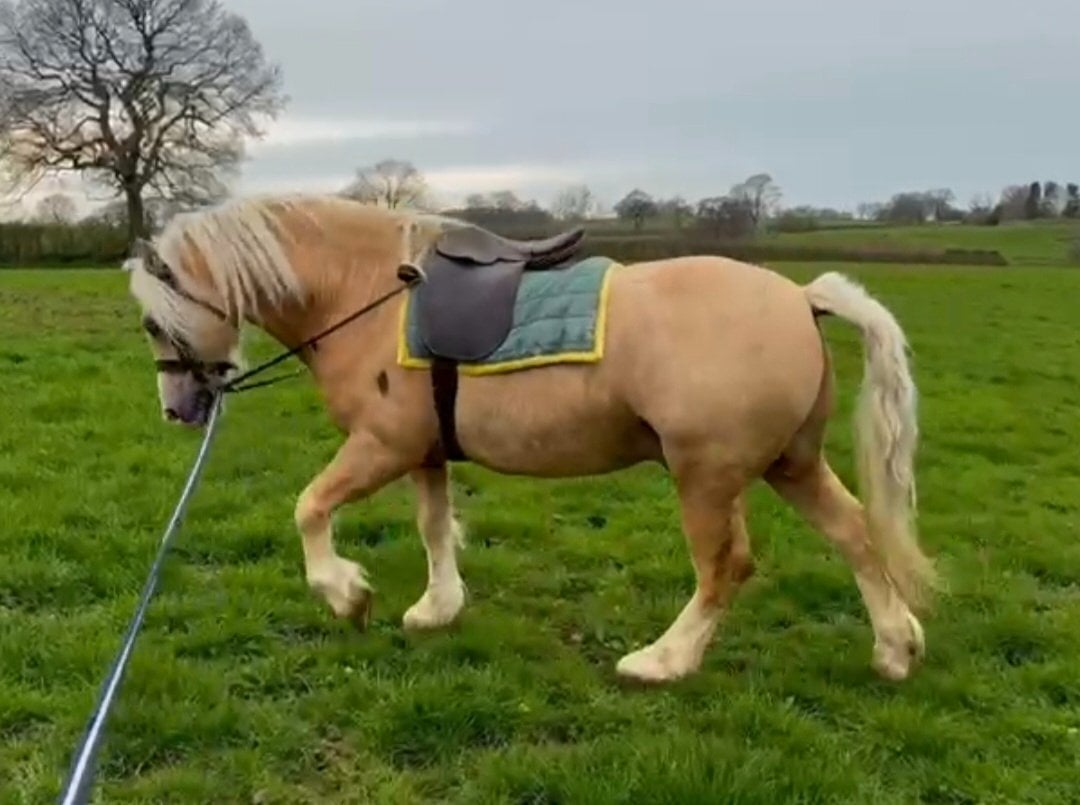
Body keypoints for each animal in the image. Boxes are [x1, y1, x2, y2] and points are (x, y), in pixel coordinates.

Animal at [125, 192, 936, 685]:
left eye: (152, 321)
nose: (177, 409)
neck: (363, 293)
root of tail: (801, 298)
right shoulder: (422, 451)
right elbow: (433, 526)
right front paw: (437, 608)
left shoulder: (380, 446)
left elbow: (309, 507)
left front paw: (346, 594)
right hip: (791, 464)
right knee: (856, 534)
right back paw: (895, 647)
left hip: (706, 476)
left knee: (725, 567)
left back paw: (664, 660)